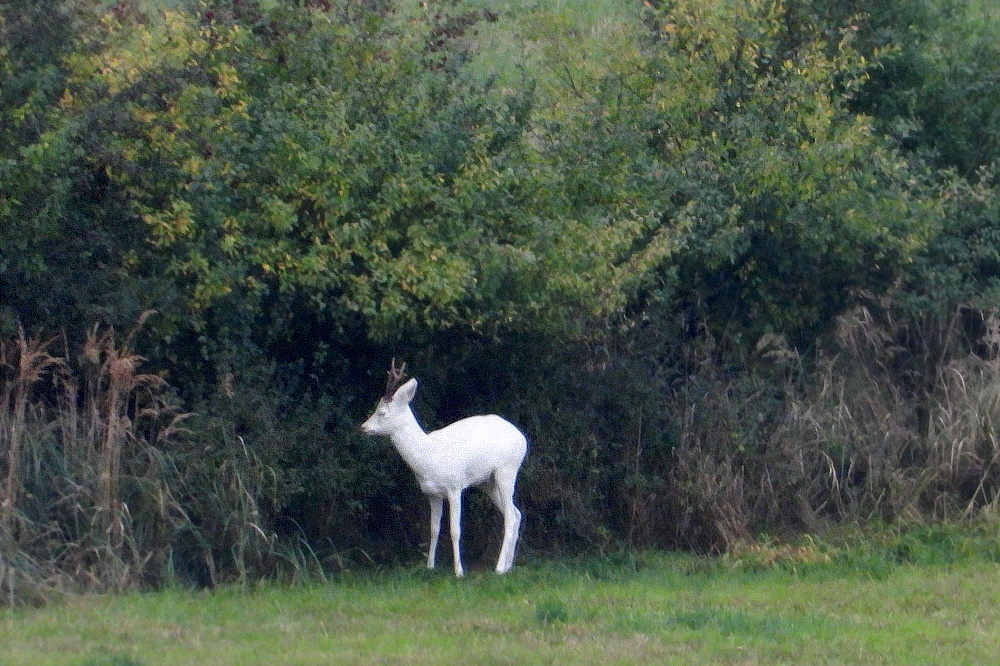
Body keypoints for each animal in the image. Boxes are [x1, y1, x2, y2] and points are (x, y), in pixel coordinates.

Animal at [362, 360, 532, 572]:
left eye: (382, 412)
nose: (363, 427)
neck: (429, 456)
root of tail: (522, 438)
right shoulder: (432, 493)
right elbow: (434, 529)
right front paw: (429, 566)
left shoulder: (454, 487)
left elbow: (455, 530)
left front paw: (459, 571)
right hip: (487, 482)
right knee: (516, 513)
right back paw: (508, 566)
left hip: (507, 470)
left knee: (510, 516)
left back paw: (499, 568)